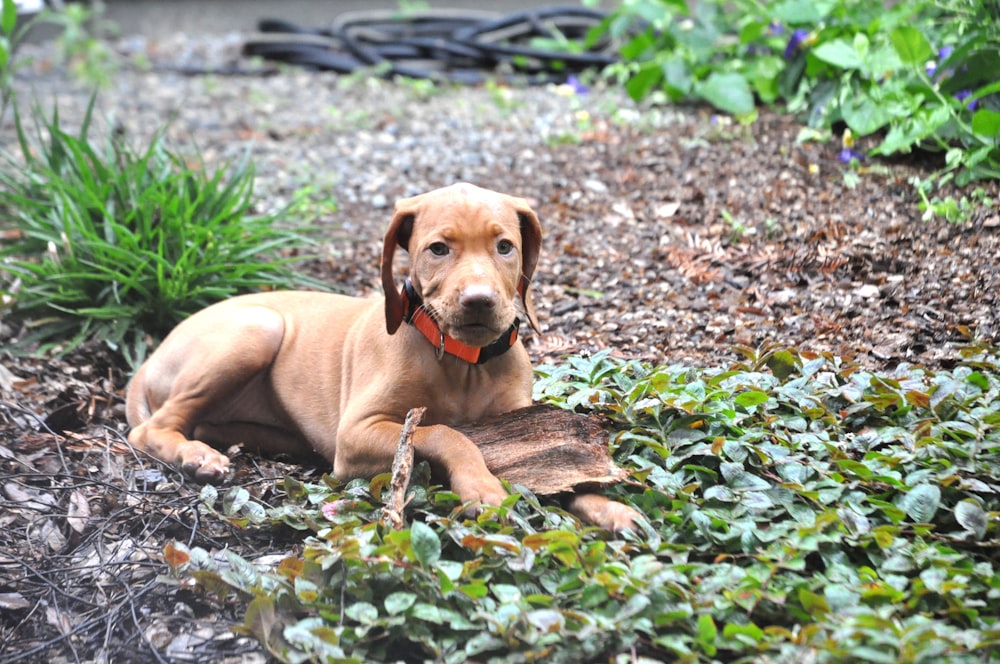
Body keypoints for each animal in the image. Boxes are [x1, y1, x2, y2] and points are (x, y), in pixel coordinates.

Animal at [127, 184, 640, 532]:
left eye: (505, 247)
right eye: (438, 249)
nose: (478, 301)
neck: (463, 363)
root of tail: (150, 359)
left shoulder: (524, 420)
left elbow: (566, 473)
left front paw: (606, 507)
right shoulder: (356, 435)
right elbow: (447, 433)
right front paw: (481, 486)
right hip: (257, 330)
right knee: (150, 428)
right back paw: (195, 455)